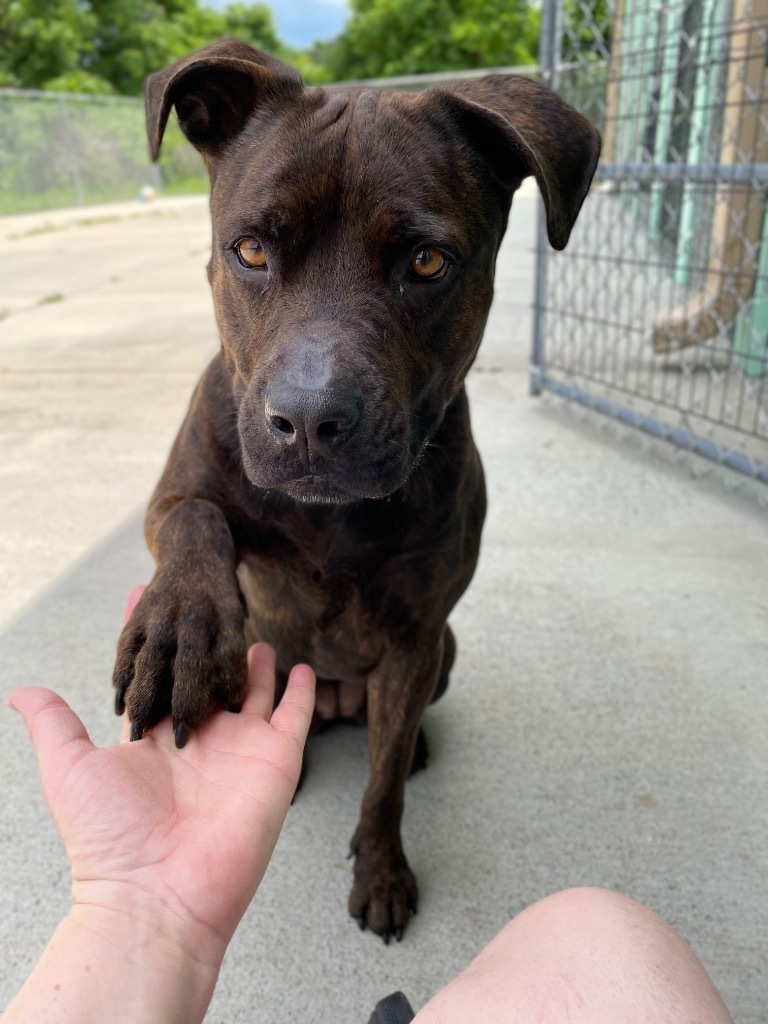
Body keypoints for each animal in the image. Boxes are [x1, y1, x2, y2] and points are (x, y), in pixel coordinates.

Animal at [114, 41, 602, 942]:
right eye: (251, 250)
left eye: (426, 262)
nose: (308, 421)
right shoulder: (172, 495)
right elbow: (196, 519)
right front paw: (179, 628)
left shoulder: (415, 637)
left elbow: (381, 789)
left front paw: (381, 869)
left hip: (444, 652)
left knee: (392, 736)